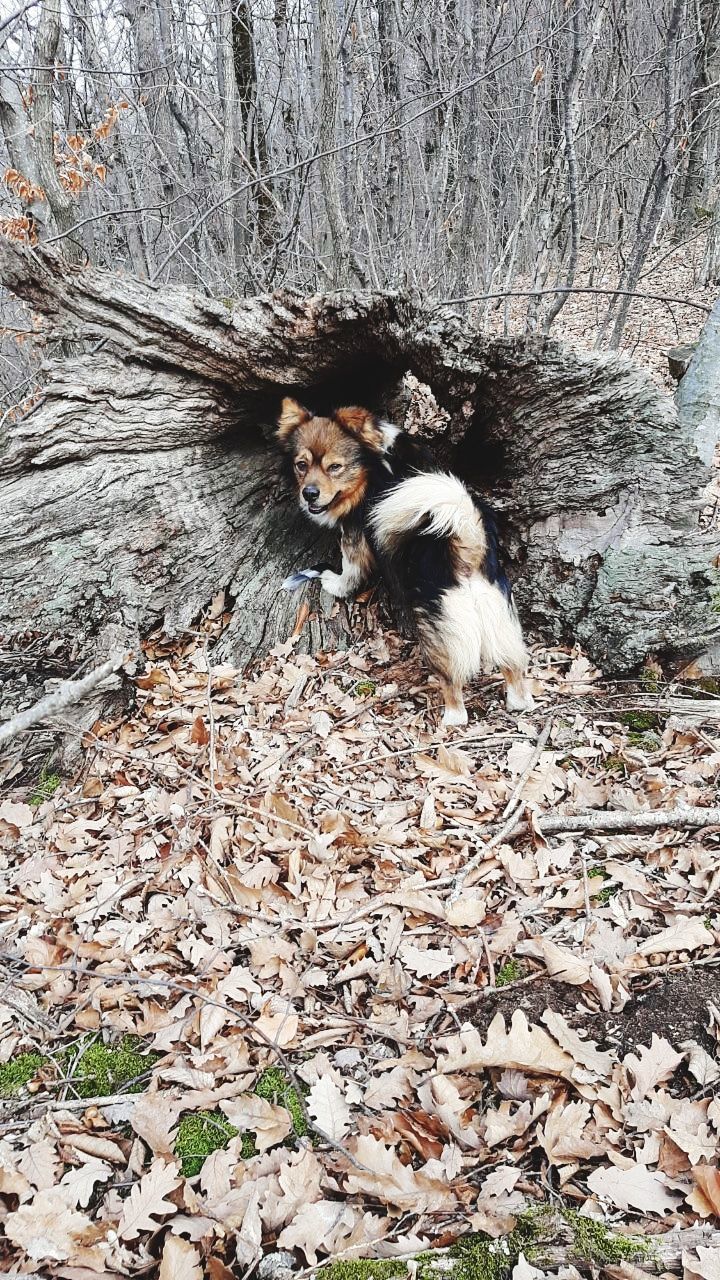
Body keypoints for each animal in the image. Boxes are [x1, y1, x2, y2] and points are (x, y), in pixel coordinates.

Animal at [275, 394, 532, 727]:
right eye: (301, 465)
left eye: (335, 467)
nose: (309, 494)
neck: (372, 464)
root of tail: (467, 541)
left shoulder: (355, 536)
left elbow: (350, 570)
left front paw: (335, 585)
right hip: (497, 613)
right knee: (514, 666)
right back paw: (518, 702)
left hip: (440, 630)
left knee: (453, 685)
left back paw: (450, 718)